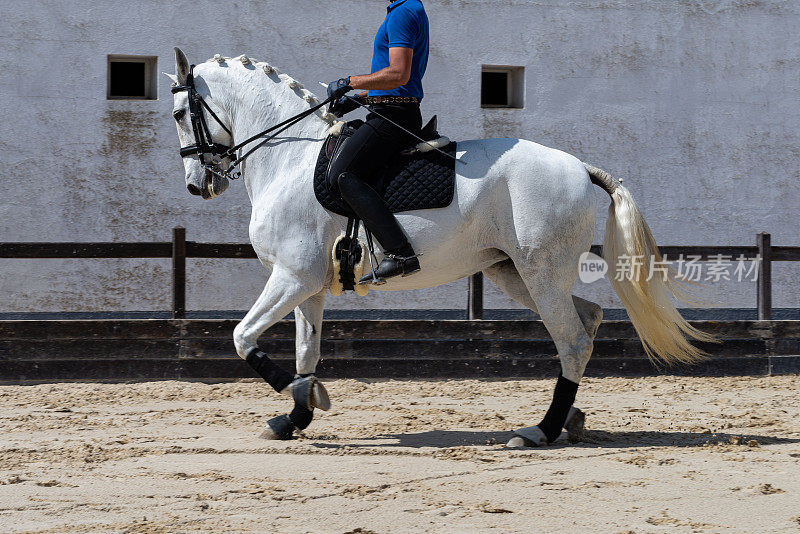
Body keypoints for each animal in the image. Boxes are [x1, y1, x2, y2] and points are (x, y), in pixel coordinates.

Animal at [166, 48, 708, 446]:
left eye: (178, 112)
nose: (197, 185)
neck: (289, 158)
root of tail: (577, 167)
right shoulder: (307, 284)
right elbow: (306, 349)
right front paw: (295, 415)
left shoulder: (291, 277)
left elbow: (242, 336)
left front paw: (301, 394)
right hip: (514, 273)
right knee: (587, 321)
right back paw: (570, 419)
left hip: (541, 274)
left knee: (571, 339)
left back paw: (541, 430)